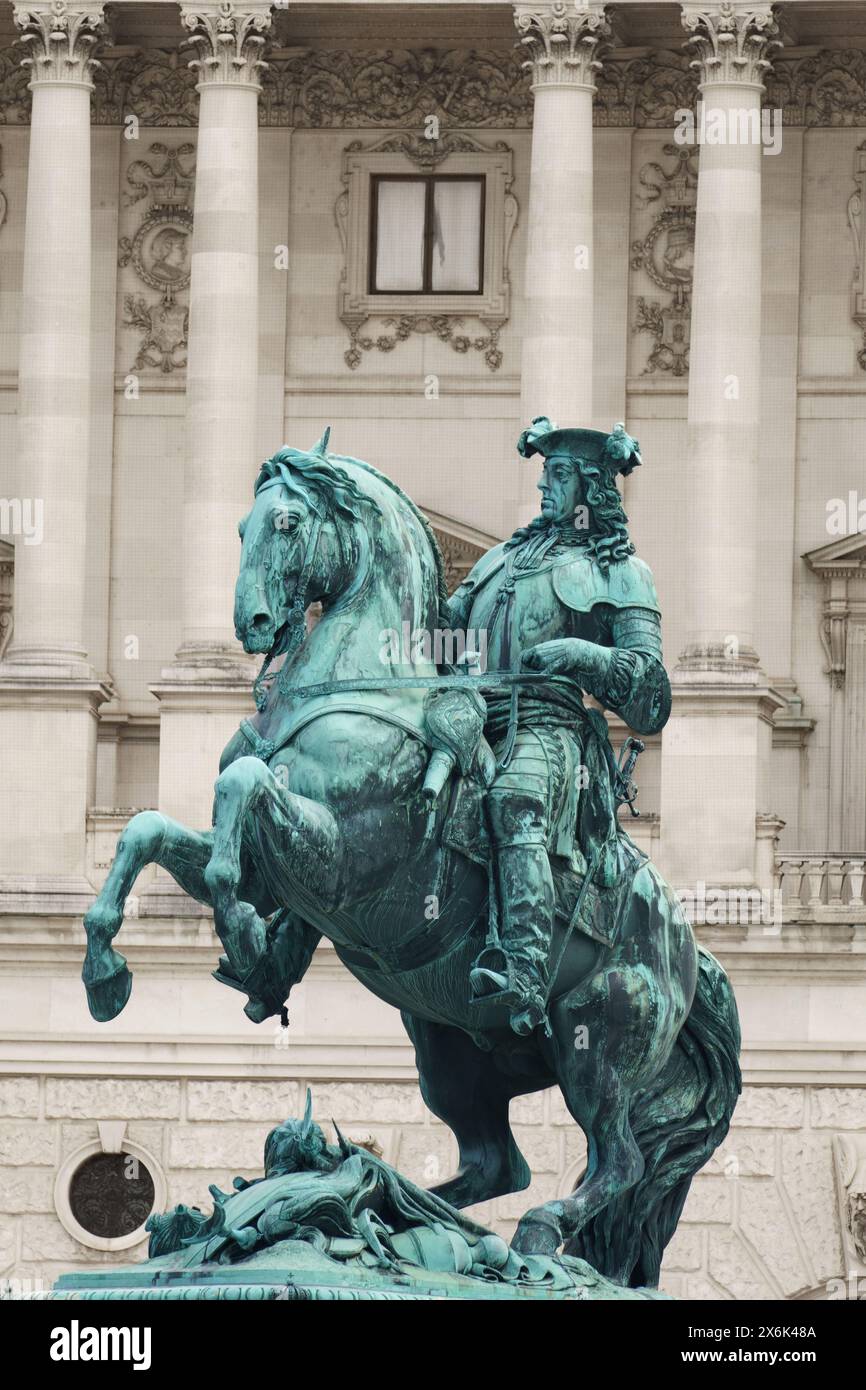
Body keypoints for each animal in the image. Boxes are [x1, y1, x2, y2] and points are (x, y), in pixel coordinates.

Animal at [81, 430, 739, 1278]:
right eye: (240, 525)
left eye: (288, 521)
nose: (253, 622)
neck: (357, 687)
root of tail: (690, 946)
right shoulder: (278, 870)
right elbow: (149, 829)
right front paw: (107, 972)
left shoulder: (340, 859)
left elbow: (242, 790)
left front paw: (241, 933)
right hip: (450, 1052)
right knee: (498, 1165)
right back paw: (389, 1200)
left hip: (596, 1038)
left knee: (615, 1160)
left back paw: (522, 1230)